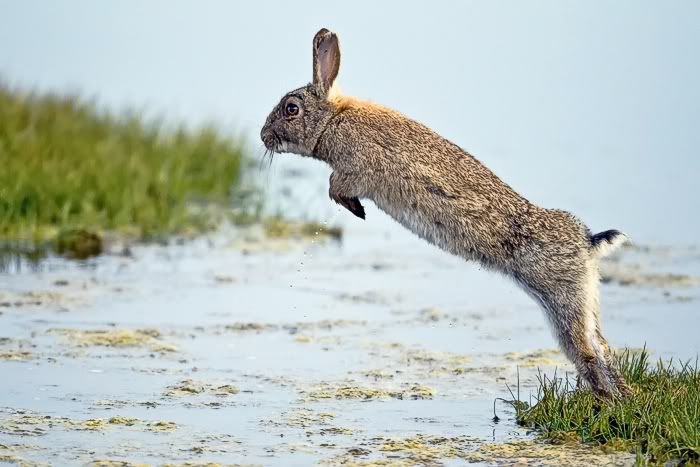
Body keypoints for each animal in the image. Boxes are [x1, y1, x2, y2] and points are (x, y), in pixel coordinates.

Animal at [260, 28, 632, 402]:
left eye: (291, 109)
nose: (263, 136)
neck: (332, 120)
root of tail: (586, 243)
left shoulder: (356, 169)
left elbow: (334, 187)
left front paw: (357, 210)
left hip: (561, 298)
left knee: (586, 352)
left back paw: (607, 400)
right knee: (603, 347)